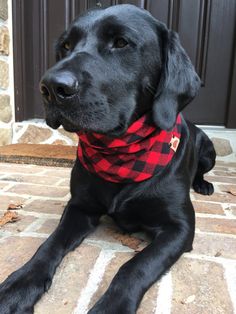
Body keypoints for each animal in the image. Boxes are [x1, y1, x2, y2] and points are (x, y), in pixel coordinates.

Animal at [0, 5, 216, 314]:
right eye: (65, 46)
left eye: (121, 42)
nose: (50, 86)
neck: (120, 153)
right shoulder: (79, 207)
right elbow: (48, 245)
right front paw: (19, 284)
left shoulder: (180, 227)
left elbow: (135, 266)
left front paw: (111, 306)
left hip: (209, 151)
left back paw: (203, 185)